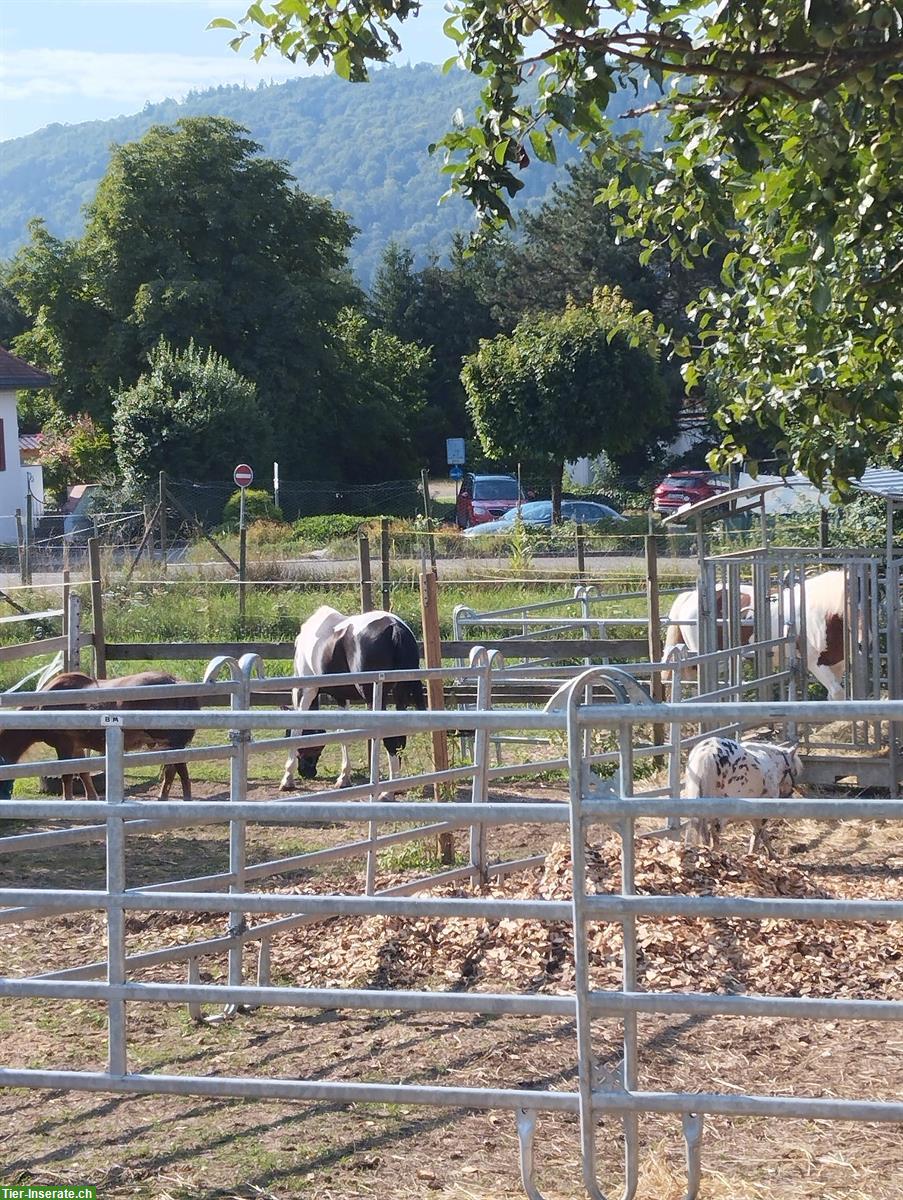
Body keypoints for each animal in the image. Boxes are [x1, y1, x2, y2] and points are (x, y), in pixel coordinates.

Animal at [0, 672, 199, 801]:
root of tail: (177, 682)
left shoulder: (64, 745)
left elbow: (67, 775)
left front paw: (67, 799)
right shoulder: (77, 746)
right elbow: (83, 772)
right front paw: (92, 797)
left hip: (173, 744)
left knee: (181, 772)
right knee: (172, 772)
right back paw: (163, 797)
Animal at [278, 609, 427, 796]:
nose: (308, 772)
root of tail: (395, 627)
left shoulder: (306, 691)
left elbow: (296, 731)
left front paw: (287, 779)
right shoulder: (341, 698)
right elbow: (344, 733)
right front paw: (344, 778)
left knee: (390, 739)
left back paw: (387, 792)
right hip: (400, 694)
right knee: (400, 736)